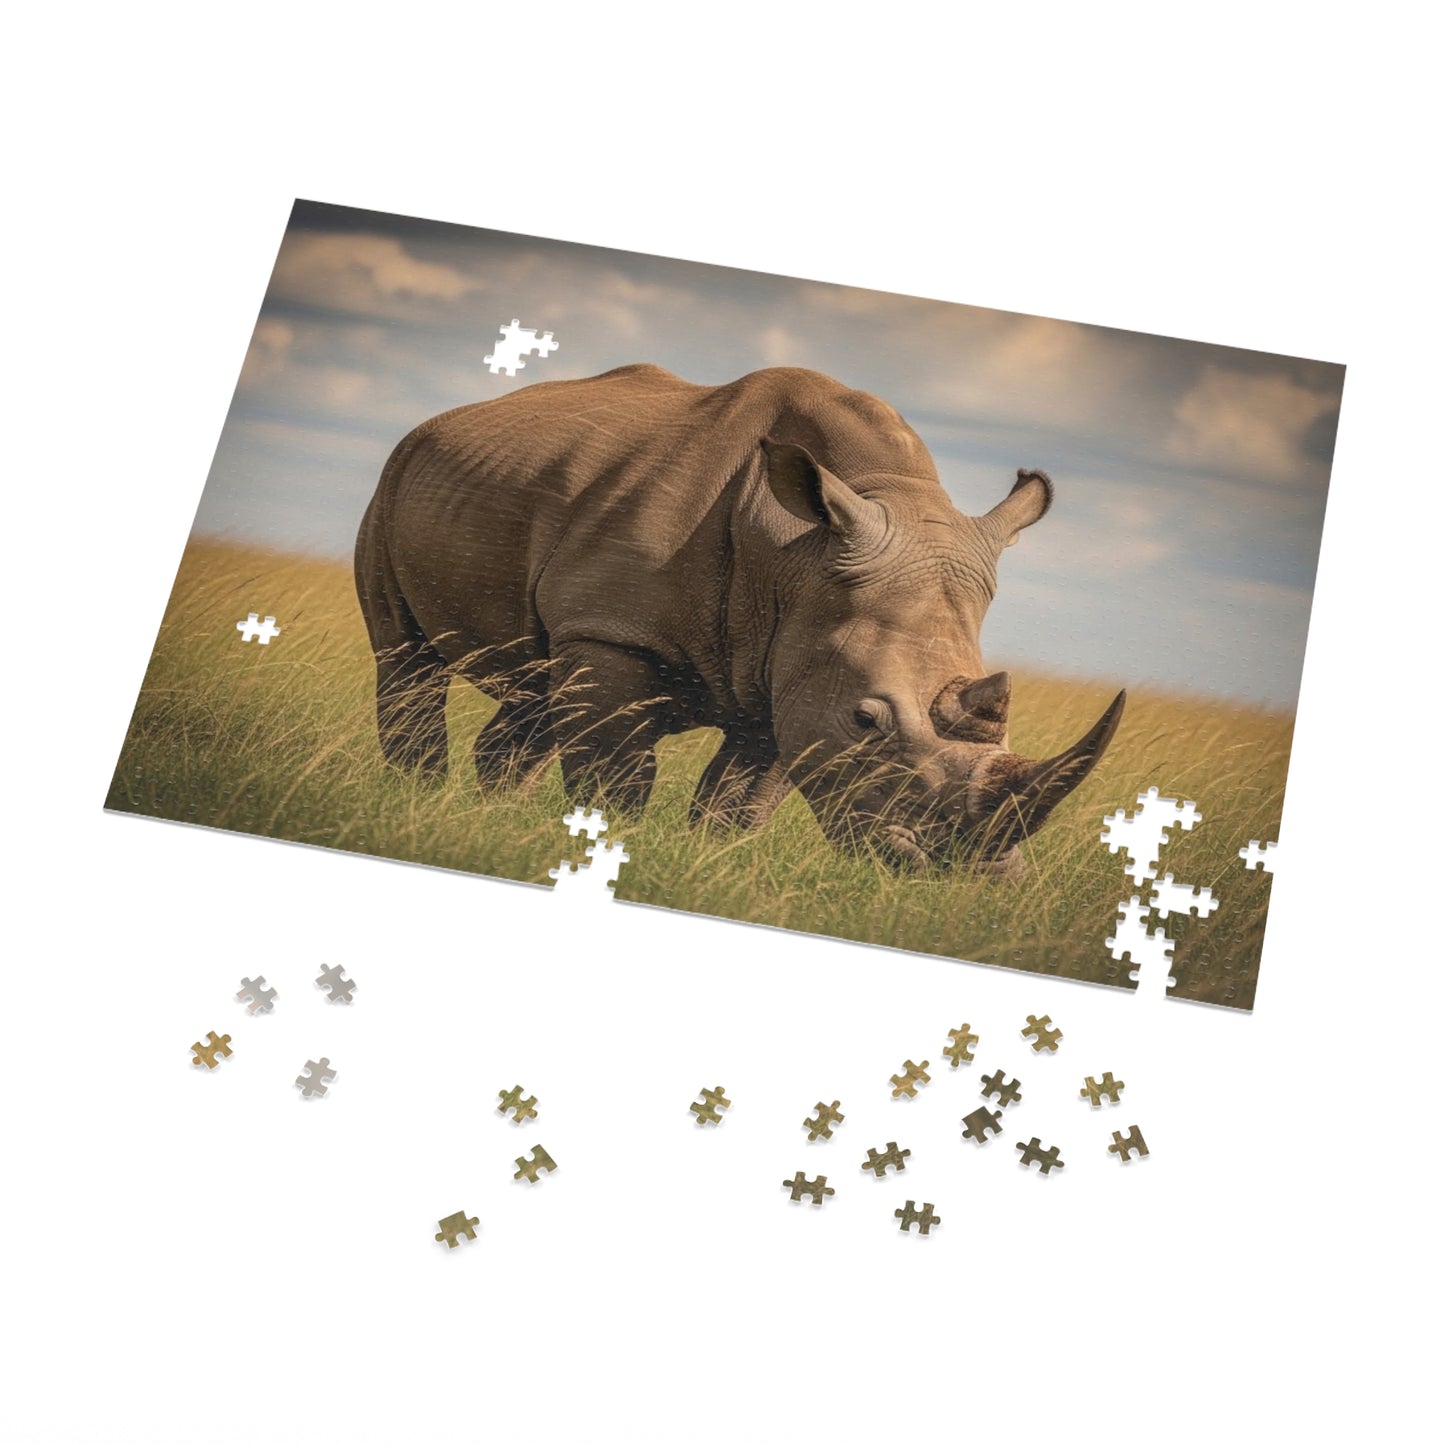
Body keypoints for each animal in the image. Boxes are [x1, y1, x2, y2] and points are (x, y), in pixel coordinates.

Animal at [355, 364, 1124, 870]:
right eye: (866, 721)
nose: (963, 872)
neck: (796, 554)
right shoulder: (617, 634)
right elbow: (616, 780)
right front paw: (606, 847)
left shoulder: (791, 673)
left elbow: (740, 803)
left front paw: (709, 869)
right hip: (396, 475)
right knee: (408, 660)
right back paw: (419, 801)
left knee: (539, 690)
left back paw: (485, 817)